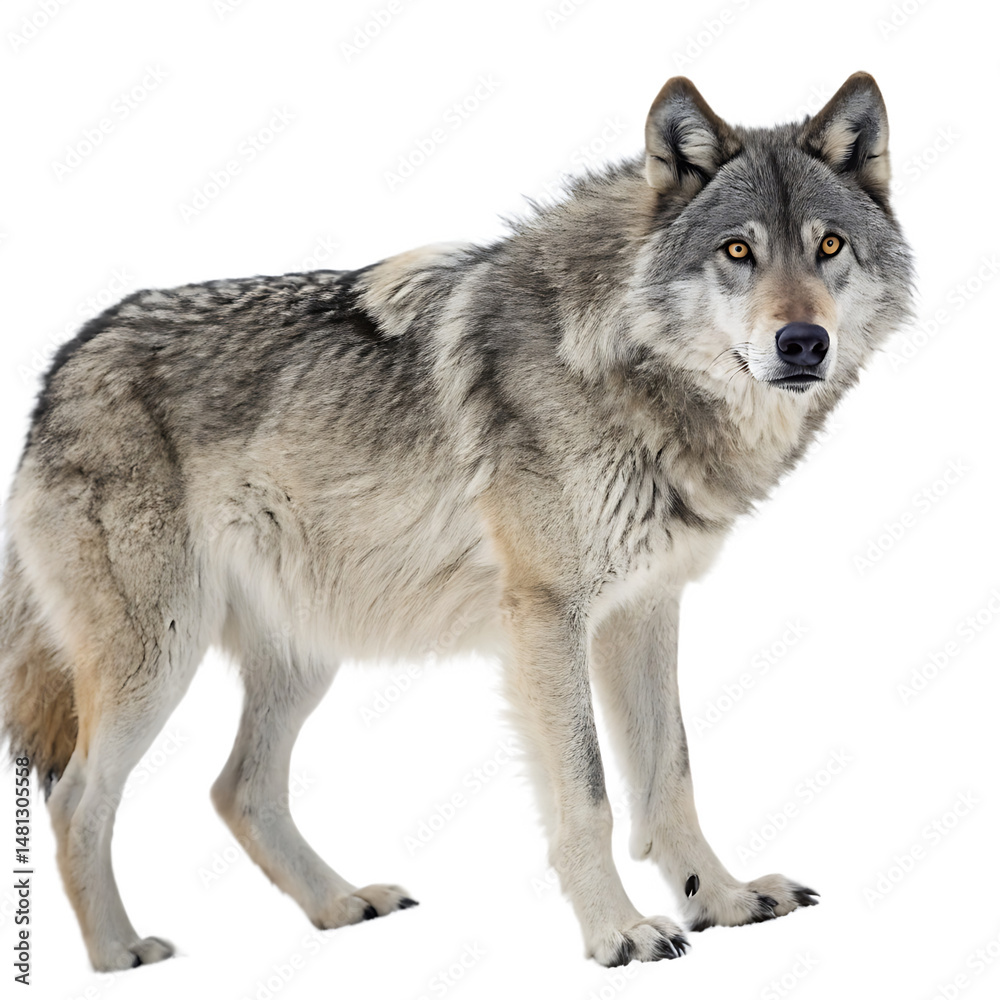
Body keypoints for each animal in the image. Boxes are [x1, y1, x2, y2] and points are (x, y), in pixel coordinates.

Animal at [0, 72, 913, 970]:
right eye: (737, 251)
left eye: (830, 247)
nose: (804, 342)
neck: (623, 366)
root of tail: (60, 366)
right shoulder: (547, 616)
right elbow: (590, 796)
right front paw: (618, 933)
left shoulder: (644, 611)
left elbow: (671, 776)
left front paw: (720, 901)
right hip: (159, 657)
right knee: (79, 797)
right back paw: (118, 953)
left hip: (304, 655)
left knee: (239, 790)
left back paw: (340, 905)